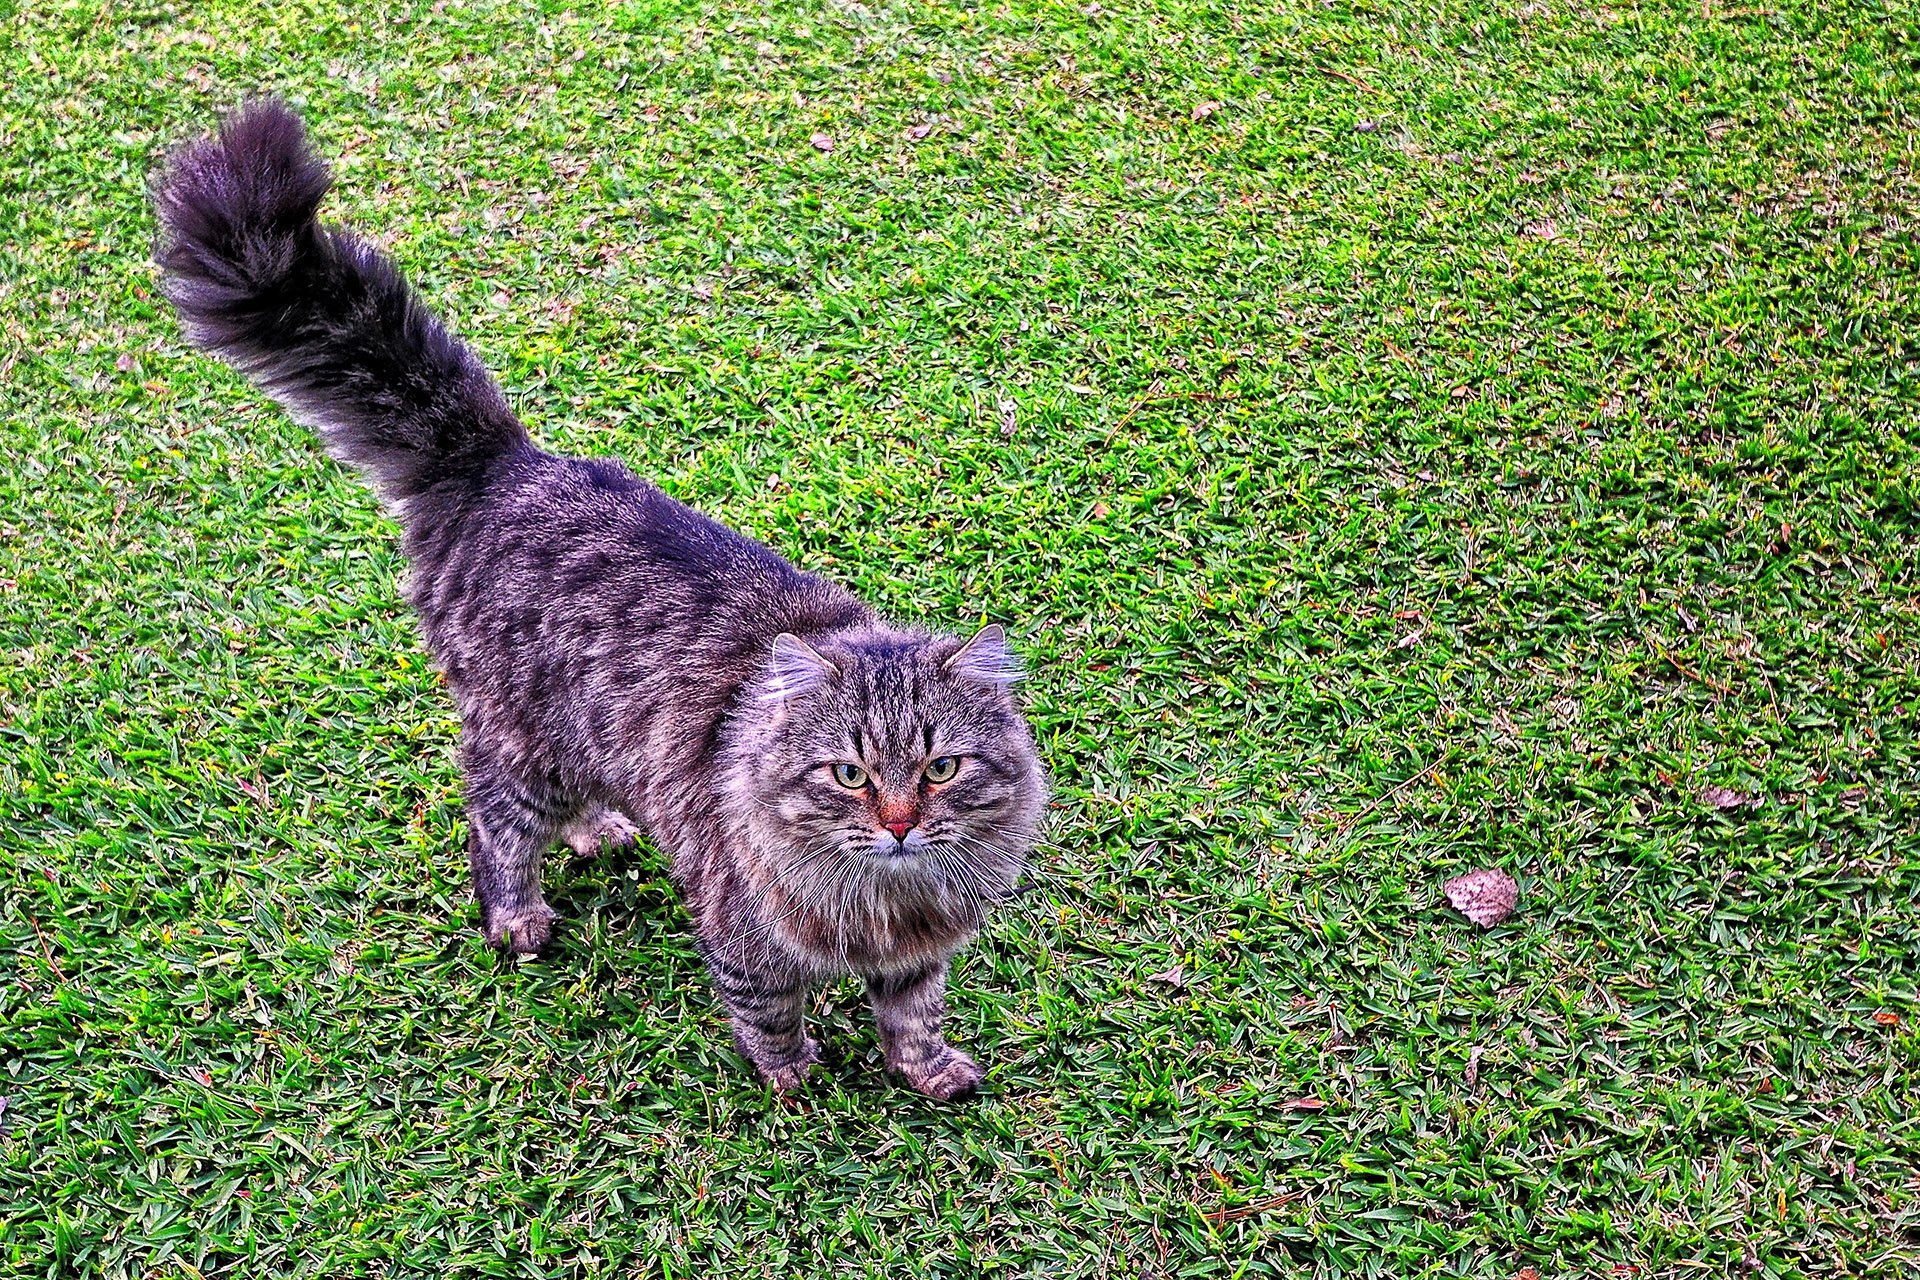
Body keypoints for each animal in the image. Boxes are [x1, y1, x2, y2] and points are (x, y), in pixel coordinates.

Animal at [152, 100, 1047, 1100]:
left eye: (941, 770)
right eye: (849, 775)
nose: (899, 824)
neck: (890, 900)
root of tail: (508, 463)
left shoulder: (922, 955)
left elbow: (914, 1017)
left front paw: (928, 1072)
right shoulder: (744, 939)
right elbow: (769, 1019)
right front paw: (793, 1082)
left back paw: (602, 833)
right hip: (525, 744)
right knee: (492, 820)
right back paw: (518, 919)